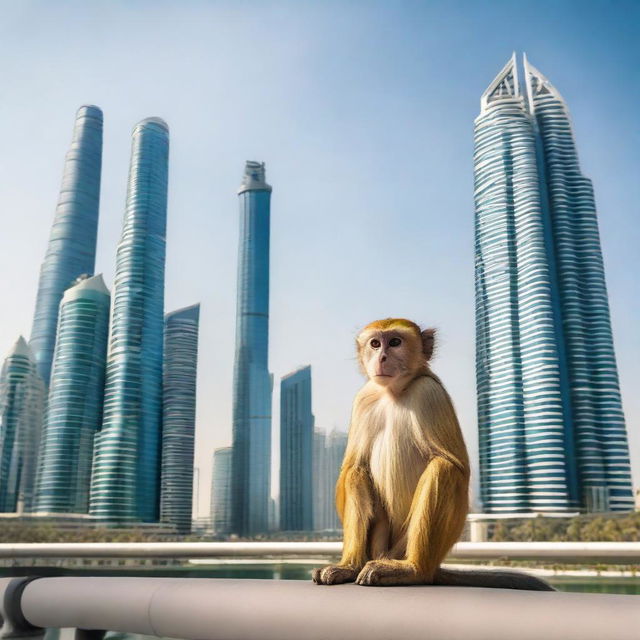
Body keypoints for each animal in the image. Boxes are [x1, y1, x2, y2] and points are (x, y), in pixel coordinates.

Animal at [312, 318, 552, 592]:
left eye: (395, 342)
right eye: (375, 343)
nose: (381, 357)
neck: (394, 392)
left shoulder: (429, 393)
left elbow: (455, 465)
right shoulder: (364, 398)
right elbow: (352, 467)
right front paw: (347, 566)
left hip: (404, 548)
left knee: (442, 468)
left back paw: (414, 570)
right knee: (356, 473)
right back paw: (352, 565)